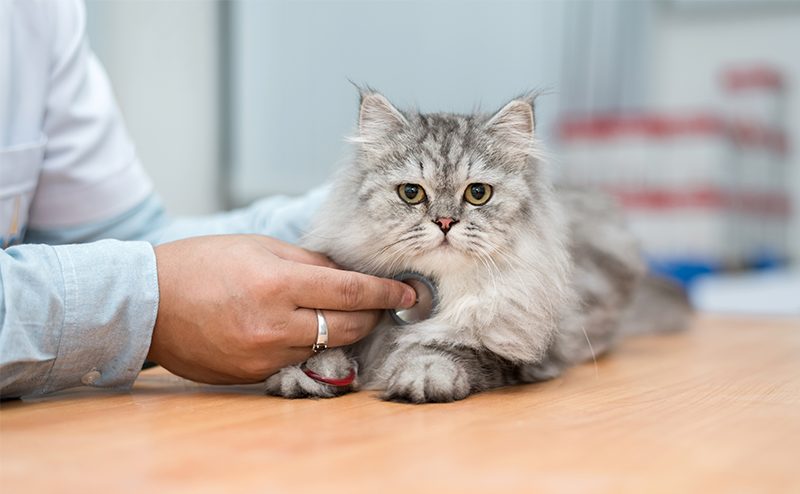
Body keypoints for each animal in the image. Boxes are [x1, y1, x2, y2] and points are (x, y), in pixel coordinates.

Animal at [266, 90, 692, 404]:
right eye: (411, 193)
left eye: (477, 194)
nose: (444, 222)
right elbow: (329, 350)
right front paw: (307, 374)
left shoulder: (516, 350)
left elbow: (445, 349)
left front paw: (420, 374)